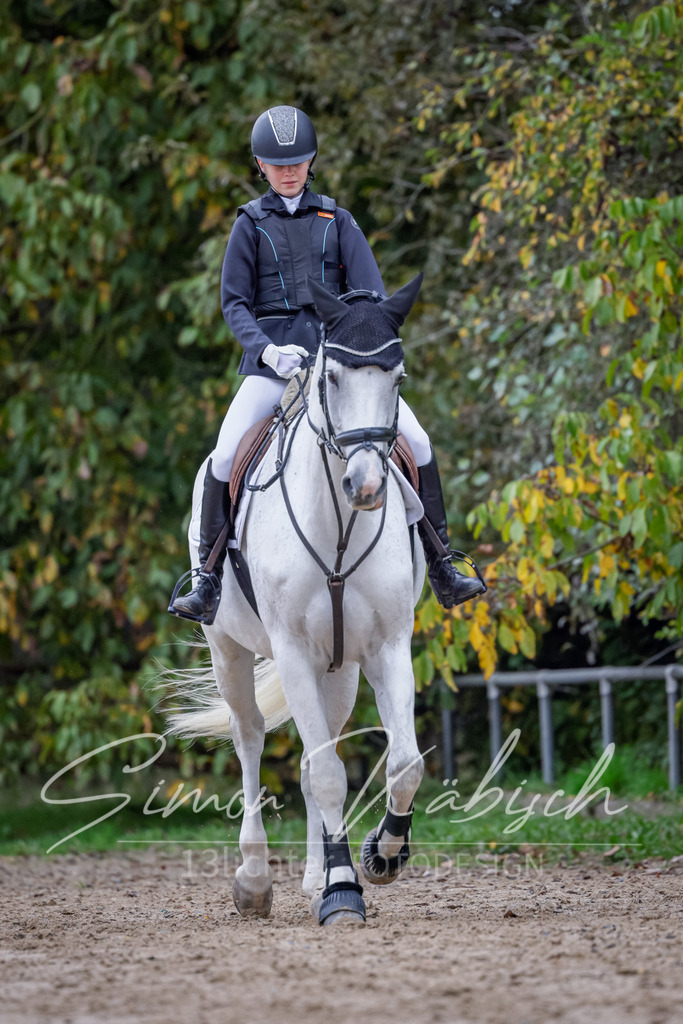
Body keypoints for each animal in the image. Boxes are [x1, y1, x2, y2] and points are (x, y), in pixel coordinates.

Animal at [166, 275, 427, 926]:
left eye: (397, 378)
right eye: (331, 377)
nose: (366, 487)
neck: (337, 528)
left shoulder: (388, 648)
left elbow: (403, 764)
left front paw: (379, 857)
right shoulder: (289, 651)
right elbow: (331, 775)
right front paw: (343, 892)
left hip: (338, 672)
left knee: (313, 760)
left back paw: (314, 875)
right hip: (229, 650)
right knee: (252, 739)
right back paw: (256, 880)